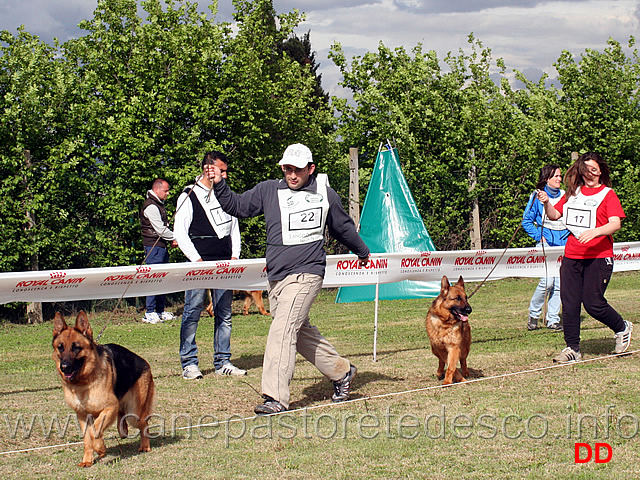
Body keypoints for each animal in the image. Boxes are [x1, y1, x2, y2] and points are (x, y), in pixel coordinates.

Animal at [52, 312, 155, 464]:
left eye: (76, 347)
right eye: (60, 347)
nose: (64, 367)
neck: (84, 382)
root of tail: (144, 362)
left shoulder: (110, 407)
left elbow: (94, 429)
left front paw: (100, 448)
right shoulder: (82, 415)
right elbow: (87, 438)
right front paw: (88, 460)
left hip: (134, 413)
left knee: (144, 425)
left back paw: (145, 446)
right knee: (122, 418)